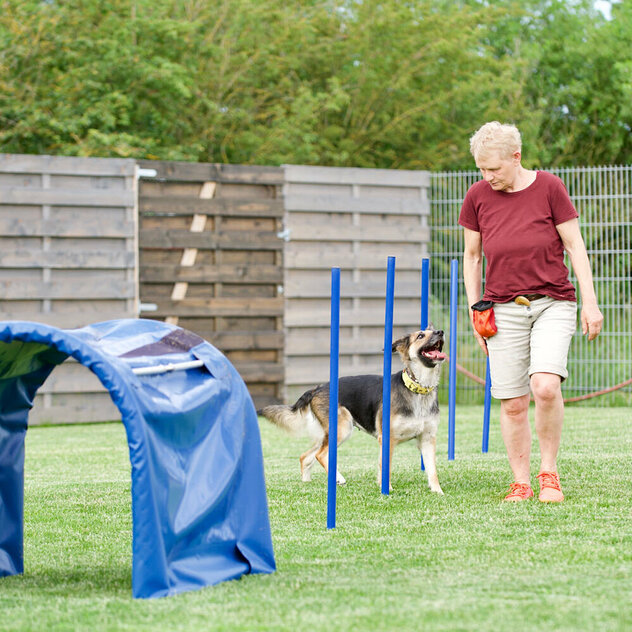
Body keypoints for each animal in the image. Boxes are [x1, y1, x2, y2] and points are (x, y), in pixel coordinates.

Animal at [256, 328, 444, 496]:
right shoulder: (387, 439)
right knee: (320, 454)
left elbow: (432, 470)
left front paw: (437, 491)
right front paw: (386, 489)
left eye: (433, 330)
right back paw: (338, 478)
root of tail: (318, 388)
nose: (441, 332)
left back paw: (306, 482)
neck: (418, 389)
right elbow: (386, 466)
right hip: (343, 428)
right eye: (421, 335)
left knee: (306, 456)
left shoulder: (427, 439)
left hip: (329, 433)